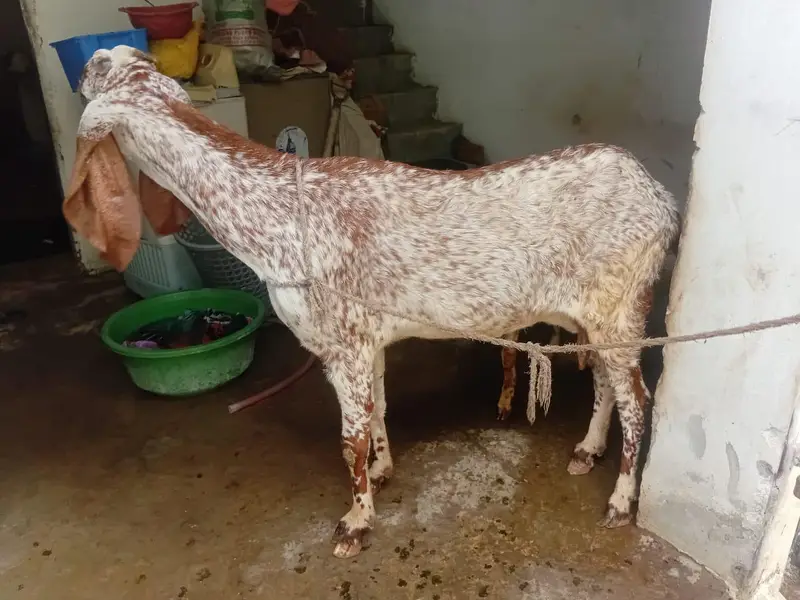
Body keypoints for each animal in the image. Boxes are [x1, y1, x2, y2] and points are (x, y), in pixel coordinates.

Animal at [64, 46, 679, 559]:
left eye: (101, 69)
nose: (82, 65)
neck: (274, 214)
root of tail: (659, 198)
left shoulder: (342, 342)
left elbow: (349, 440)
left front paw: (356, 523)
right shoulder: (368, 339)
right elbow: (378, 411)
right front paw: (383, 472)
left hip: (620, 303)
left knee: (637, 399)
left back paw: (620, 501)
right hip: (596, 315)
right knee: (606, 383)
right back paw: (587, 451)